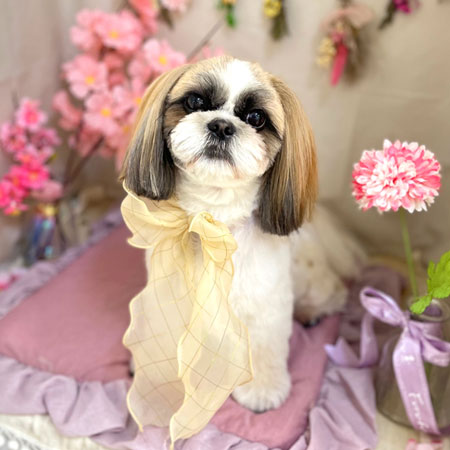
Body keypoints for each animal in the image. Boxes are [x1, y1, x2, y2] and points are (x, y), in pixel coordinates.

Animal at [121, 55, 358, 413]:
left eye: (256, 118)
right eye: (195, 101)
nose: (221, 125)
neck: (213, 220)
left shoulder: (266, 303)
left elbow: (264, 346)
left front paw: (262, 389)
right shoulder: (168, 291)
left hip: (311, 281)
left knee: (335, 294)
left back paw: (312, 312)